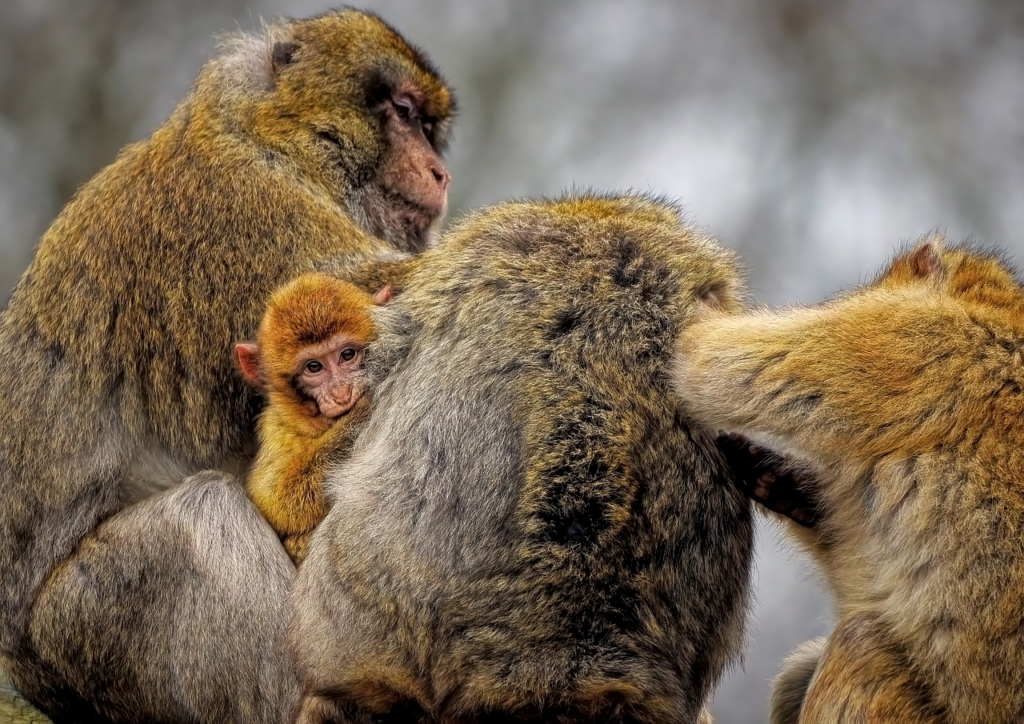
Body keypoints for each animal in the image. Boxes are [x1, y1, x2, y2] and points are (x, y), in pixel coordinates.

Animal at [236, 273, 391, 564]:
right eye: (314, 367)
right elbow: (274, 499)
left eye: (347, 354)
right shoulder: (278, 428)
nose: (341, 392)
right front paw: (362, 410)